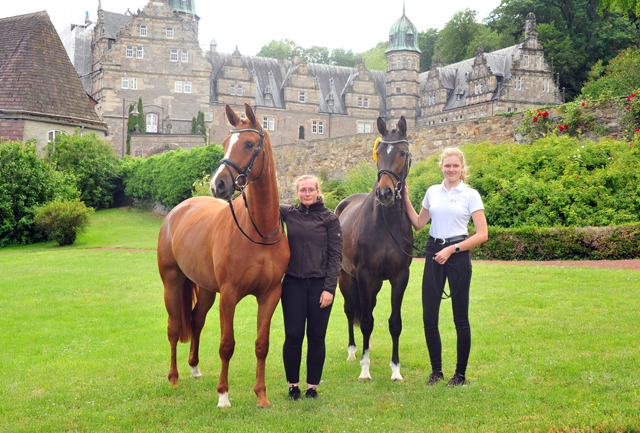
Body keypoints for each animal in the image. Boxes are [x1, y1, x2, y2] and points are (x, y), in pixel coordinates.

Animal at [158, 103, 290, 406]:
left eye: (249, 144)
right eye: (224, 143)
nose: (217, 185)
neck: (259, 231)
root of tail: (177, 211)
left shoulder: (270, 295)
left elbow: (262, 345)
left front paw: (261, 396)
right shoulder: (229, 295)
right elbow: (226, 345)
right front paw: (223, 396)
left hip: (206, 289)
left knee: (196, 320)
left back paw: (194, 368)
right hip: (172, 284)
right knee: (174, 328)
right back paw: (174, 378)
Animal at [338, 115, 412, 382]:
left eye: (402, 152)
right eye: (378, 153)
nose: (385, 192)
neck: (386, 222)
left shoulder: (400, 276)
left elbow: (395, 322)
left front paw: (396, 370)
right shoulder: (364, 274)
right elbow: (367, 321)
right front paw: (365, 368)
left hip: (376, 283)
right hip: (345, 277)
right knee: (351, 310)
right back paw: (353, 351)